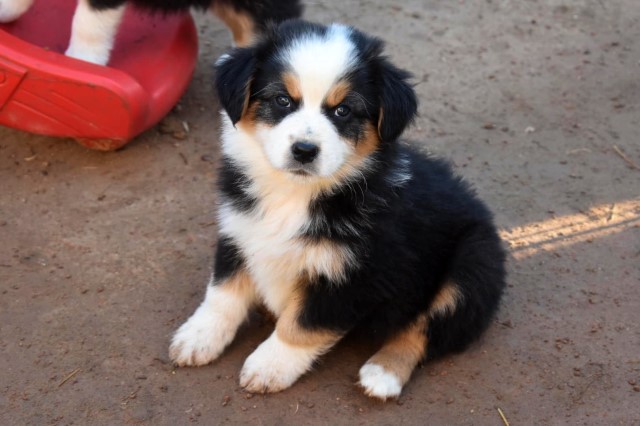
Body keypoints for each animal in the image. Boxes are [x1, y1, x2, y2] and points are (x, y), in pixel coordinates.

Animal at [168, 20, 508, 400]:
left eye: (342, 110)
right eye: (282, 100)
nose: (304, 150)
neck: (295, 194)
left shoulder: (353, 273)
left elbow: (301, 325)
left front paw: (268, 367)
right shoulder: (239, 232)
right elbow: (222, 293)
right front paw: (198, 337)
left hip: (473, 266)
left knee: (424, 329)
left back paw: (382, 373)